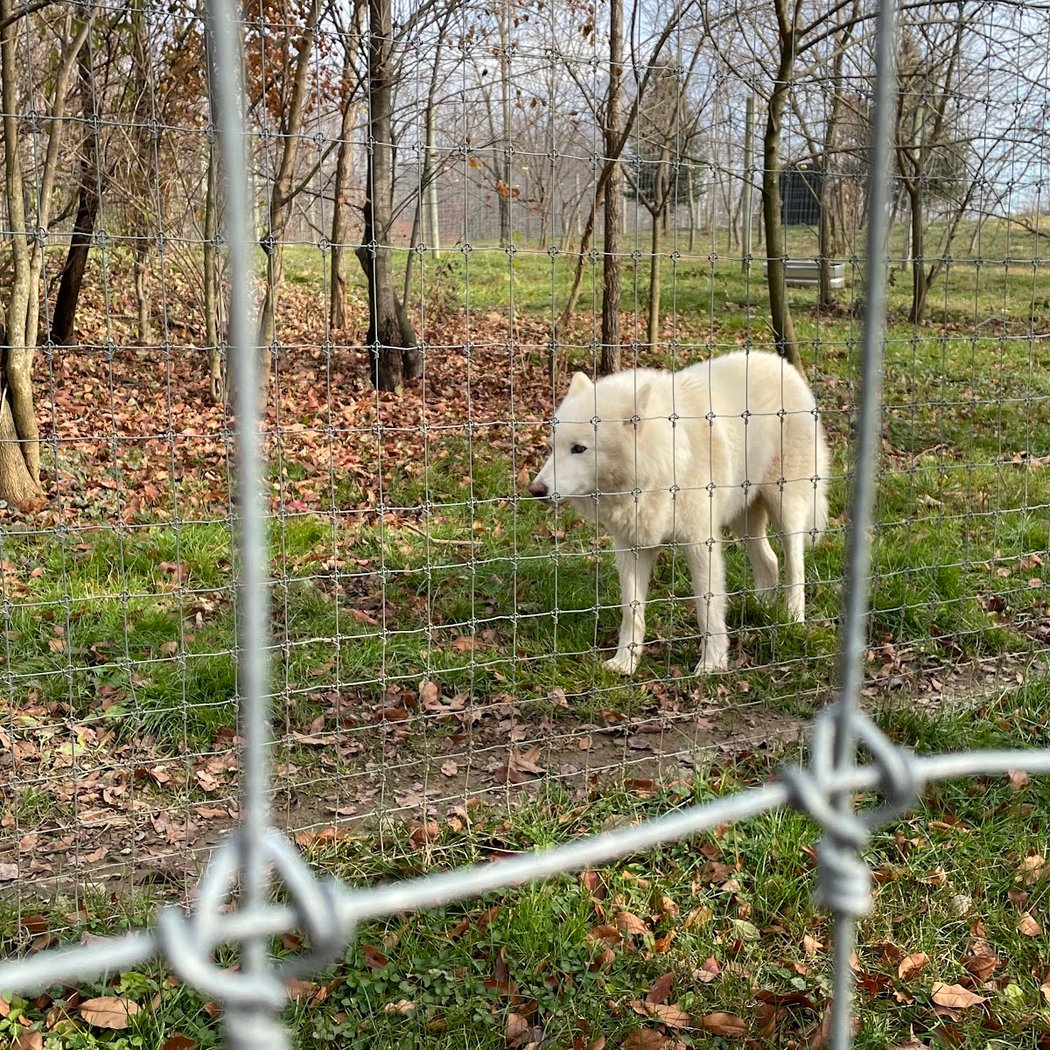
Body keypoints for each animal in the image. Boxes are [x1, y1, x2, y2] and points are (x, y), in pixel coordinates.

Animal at [528, 350, 830, 675]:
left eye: (579, 448)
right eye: (552, 446)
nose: (536, 489)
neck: (658, 464)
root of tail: (781, 363)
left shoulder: (700, 544)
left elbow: (707, 607)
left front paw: (712, 664)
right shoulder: (631, 548)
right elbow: (631, 611)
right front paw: (624, 663)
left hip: (785, 507)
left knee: (795, 564)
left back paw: (792, 618)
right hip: (744, 519)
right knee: (770, 561)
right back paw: (759, 608)